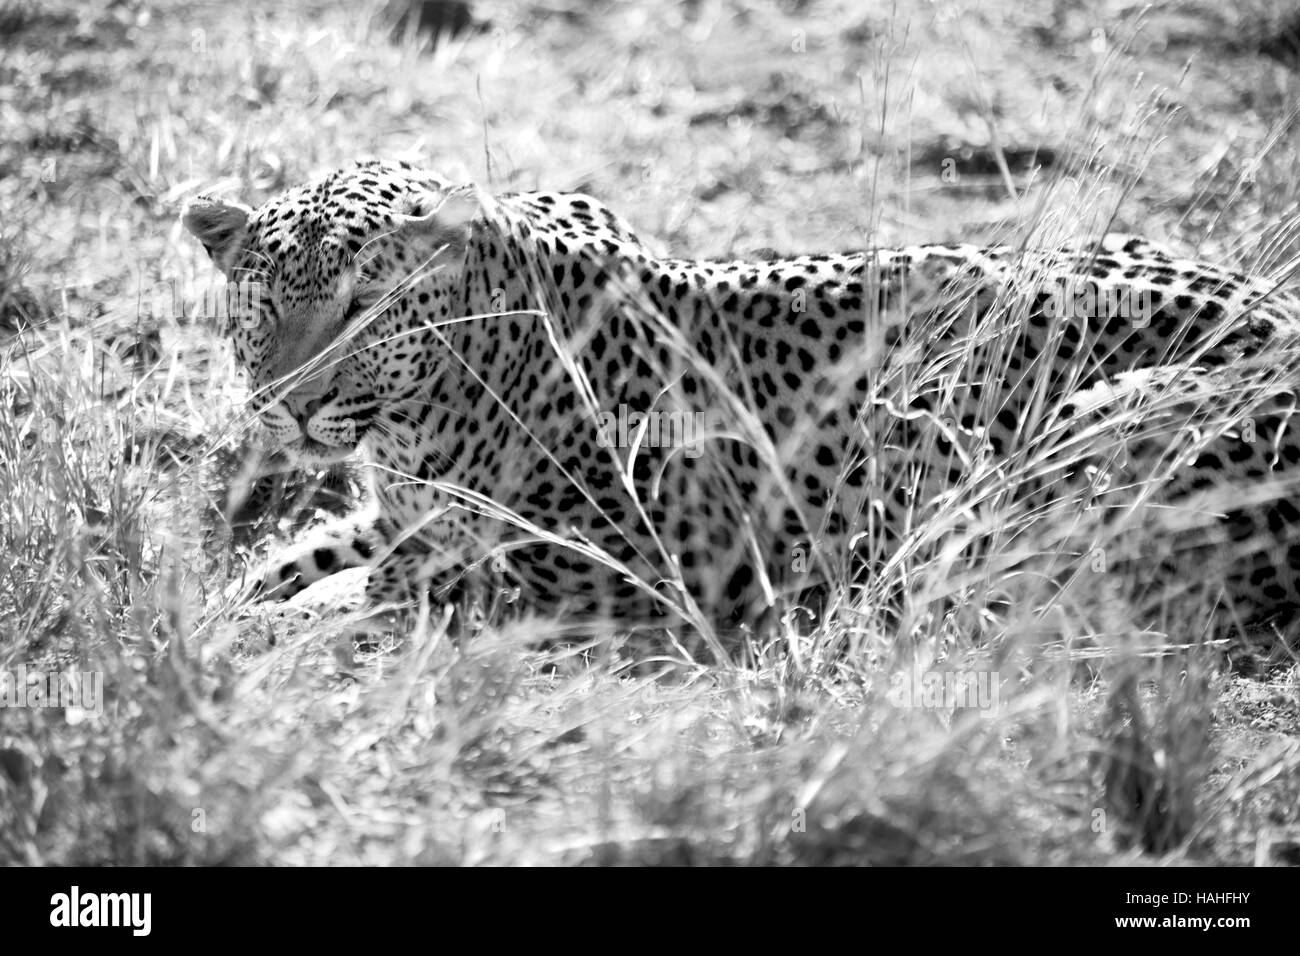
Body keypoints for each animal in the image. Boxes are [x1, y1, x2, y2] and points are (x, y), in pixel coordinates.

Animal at [185, 158, 1300, 658]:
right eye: (268, 303)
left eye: (364, 306)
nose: (287, 407)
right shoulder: (403, 511)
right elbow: (308, 556)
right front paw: (237, 600)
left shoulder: (625, 563)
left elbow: (396, 587)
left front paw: (296, 619)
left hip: (1062, 455)